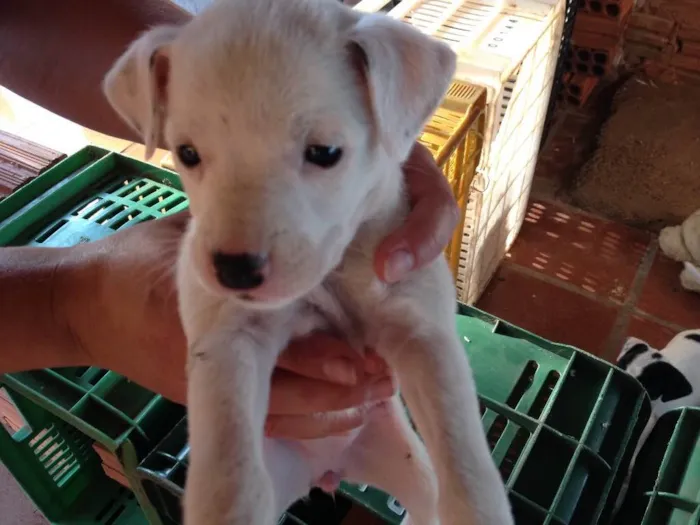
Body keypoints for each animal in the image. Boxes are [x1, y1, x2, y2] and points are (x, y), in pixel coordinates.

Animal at [102, 1, 508, 524]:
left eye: (325, 153)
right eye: (186, 153)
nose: (233, 272)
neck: (329, 277)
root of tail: (329, 468)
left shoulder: (422, 333)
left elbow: (464, 460)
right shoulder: (231, 341)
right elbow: (230, 470)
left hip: (412, 473)